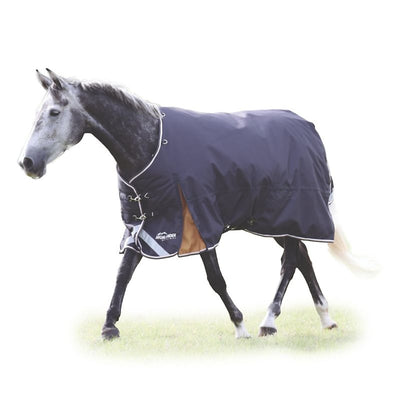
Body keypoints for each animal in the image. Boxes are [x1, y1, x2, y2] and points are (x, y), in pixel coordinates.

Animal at [19, 69, 359, 340]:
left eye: (53, 112)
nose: (27, 162)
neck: (150, 145)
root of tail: (307, 127)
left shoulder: (198, 221)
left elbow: (216, 279)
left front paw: (240, 327)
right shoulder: (143, 225)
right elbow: (123, 273)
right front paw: (109, 327)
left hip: (291, 213)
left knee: (290, 262)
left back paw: (269, 321)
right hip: (274, 220)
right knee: (301, 258)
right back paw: (325, 319)